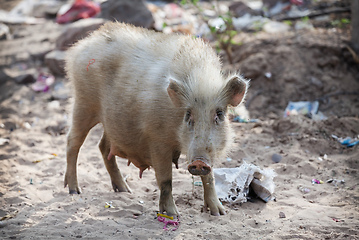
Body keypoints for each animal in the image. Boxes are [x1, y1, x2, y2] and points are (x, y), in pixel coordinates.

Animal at [64, 22, 249, 218]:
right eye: (188, 114)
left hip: (111, 122)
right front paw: (174, 215)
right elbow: (166, 179)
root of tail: (83, 44)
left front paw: (219, 213)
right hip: (83, 103)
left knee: (103, 146)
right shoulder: (157, 140)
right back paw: (74, 191)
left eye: (219, 114)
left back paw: (125, 190)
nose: (199, 162)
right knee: (72, 141)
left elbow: (210, 177)